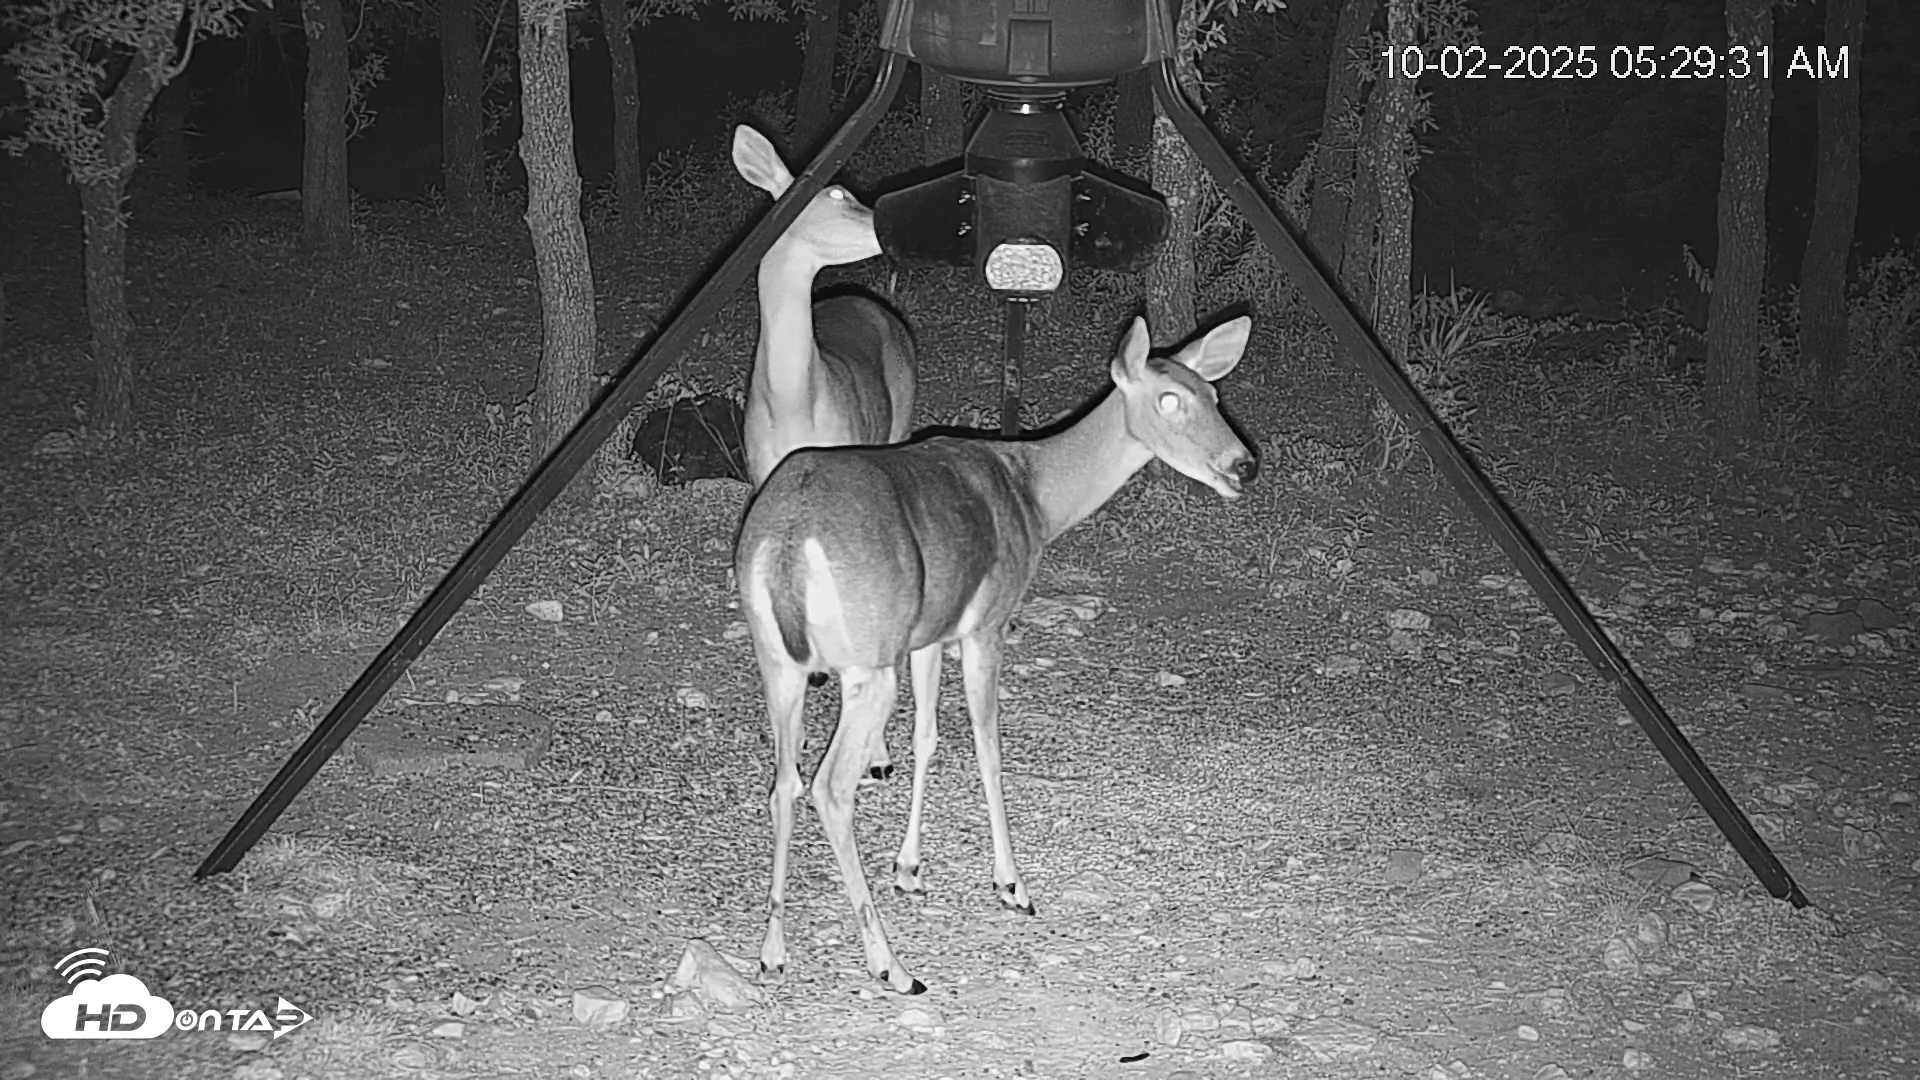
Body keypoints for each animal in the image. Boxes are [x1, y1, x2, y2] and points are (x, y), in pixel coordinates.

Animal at [732, 124, 918, 784]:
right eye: (840, 194)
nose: (888, 218)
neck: (794, 400)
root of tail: (866, 302)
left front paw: (878, 757)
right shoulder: (761, 476)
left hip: (900, 416)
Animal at [734, 314, 1256, 995]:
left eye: (1215, 394)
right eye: (1170, 400)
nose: (1243, 465)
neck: (1033, 493)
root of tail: (787, 543)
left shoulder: (930, 632)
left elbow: (928, 737)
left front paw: (910, 869)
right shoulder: (988, 622)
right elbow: (988, 747)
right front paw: (1012, 885)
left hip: (781, 663)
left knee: (783, 784)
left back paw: (772, 950)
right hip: (867, 664)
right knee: (829, 788)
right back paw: (892, 966)